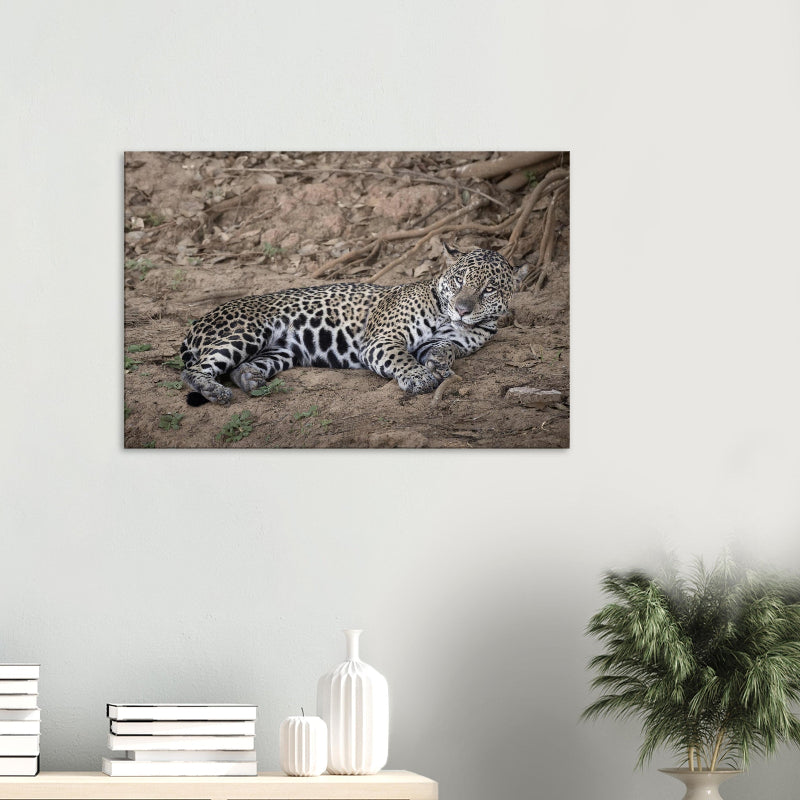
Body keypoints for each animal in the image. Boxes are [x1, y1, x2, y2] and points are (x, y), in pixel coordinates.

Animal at [180, 243, 527, 406]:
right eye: (459, 280)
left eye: (489, 289)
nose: (462, 309)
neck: (448, 318)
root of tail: (199, 321)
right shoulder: (382, 339)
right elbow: (401, 357)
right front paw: (419, 377)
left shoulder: (446, 341)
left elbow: (445, 348)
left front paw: (439, 363)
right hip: (248, 331)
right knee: (193, 369)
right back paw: (214, 390)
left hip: (281, 351)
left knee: (239, 367)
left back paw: (249, 378)